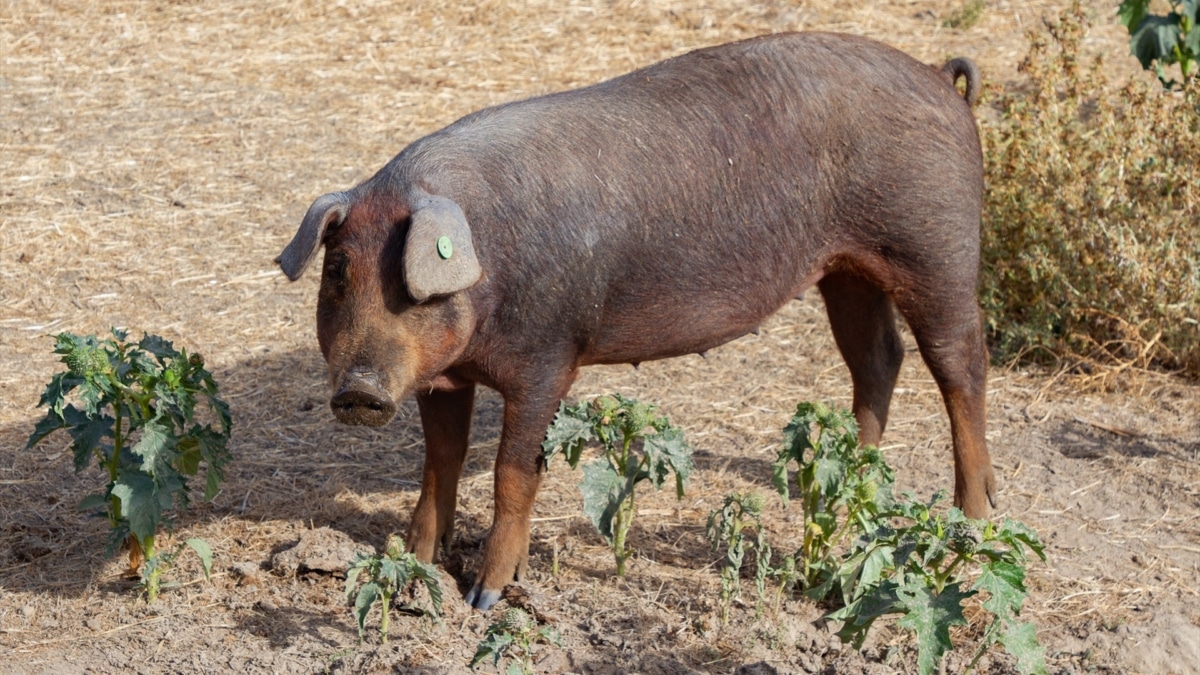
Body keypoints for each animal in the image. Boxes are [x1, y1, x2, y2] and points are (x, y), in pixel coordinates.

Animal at [277, 32, 995, 611]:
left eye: (412, 283)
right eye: (338, 270)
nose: (359, 391)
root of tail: (939, 77)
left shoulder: (548, 359)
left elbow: (514, 473)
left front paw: (484, 598)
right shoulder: (444, 377)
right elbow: (439, 463)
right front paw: (412, 561)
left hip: (936, 247)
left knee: (960, 364)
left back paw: (977, 515)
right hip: (845, 270)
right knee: (878, 360)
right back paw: (835, 481)